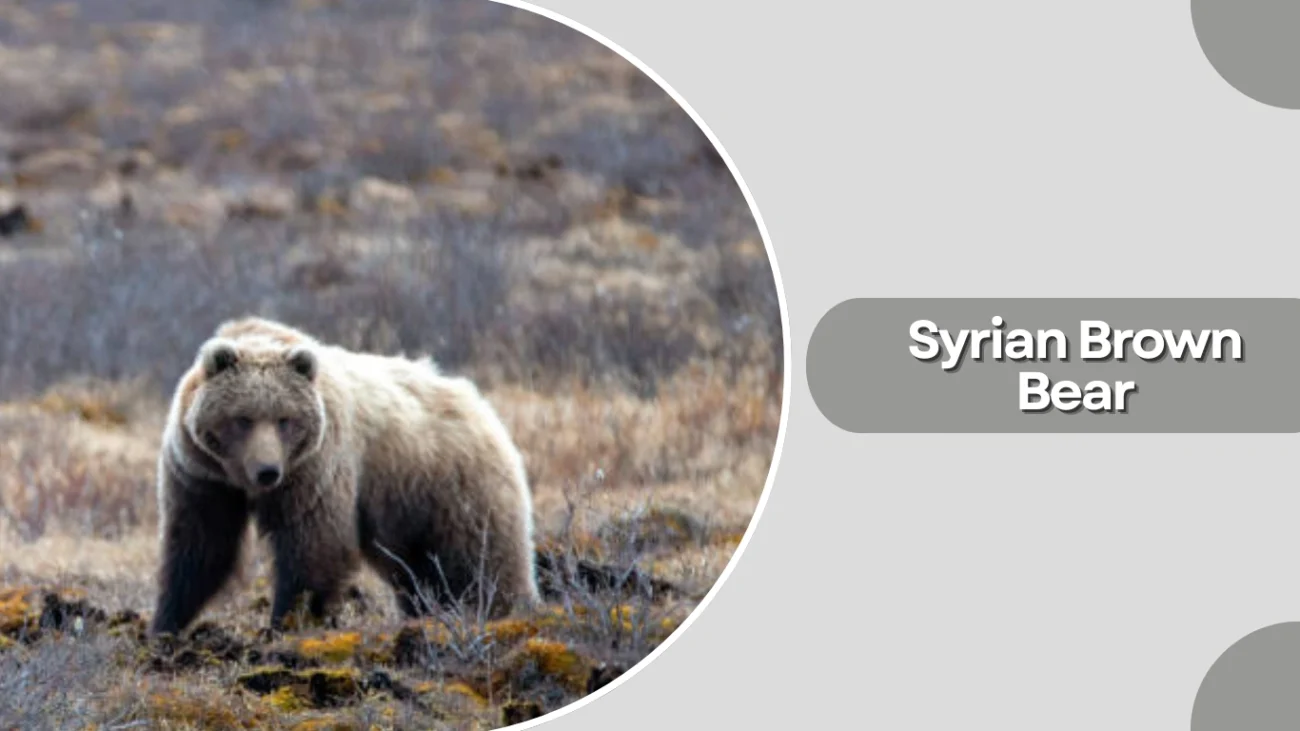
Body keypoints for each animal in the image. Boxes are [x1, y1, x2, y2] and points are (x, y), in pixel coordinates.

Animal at [149, 315, 540, 636]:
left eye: (284, 419)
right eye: (243, 418)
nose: (267, 471)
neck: (239, 481)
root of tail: (480, 404)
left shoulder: (316, 468)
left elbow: (314, 545)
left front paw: (285, 623)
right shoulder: (201, 476)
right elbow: (200, 545)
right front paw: (165, 625)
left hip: (454, 487)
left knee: (482, 559)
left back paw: (508, 610)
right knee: (419, 572)